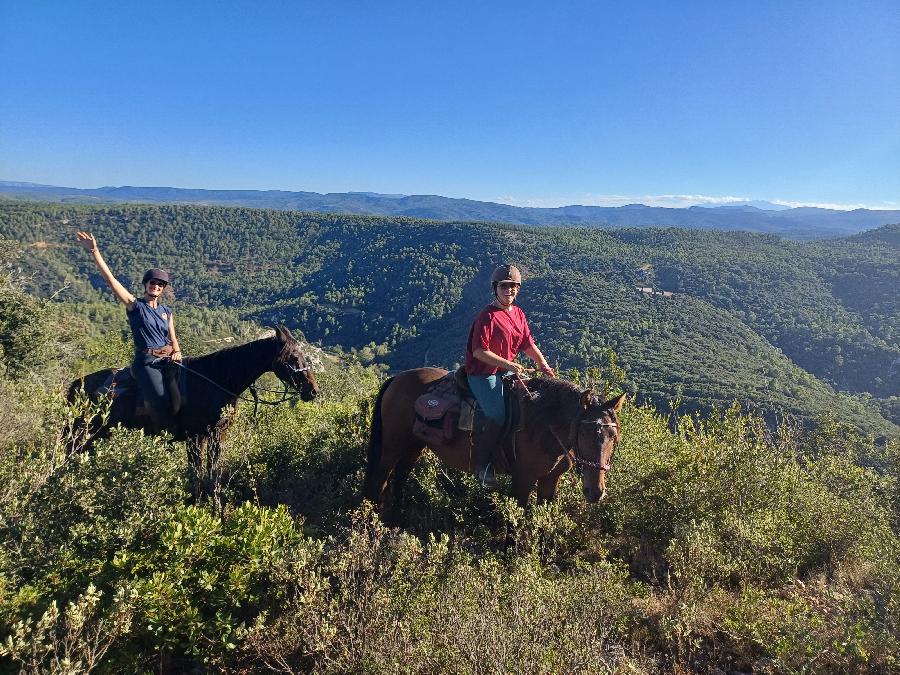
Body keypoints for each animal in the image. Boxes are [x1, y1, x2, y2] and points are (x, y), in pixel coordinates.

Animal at [68, 328, 318, 496]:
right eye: (293, 357)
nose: (312, 391)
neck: (215, 380)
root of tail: (76, 385)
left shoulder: (217, 436)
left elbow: (213, 478)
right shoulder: (194, 438)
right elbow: (196, 478)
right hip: (83, 437)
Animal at [362, 370, 624, 516]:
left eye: (613, 437)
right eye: (584, 433)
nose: (595, 492)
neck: (545, 422)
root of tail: (397, 378)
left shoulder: (550, 480)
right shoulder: (522, 478)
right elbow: (515, 521)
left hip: (414, 445)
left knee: (400, 477)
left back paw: (398, 517)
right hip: (392, 446)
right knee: (380, 479)